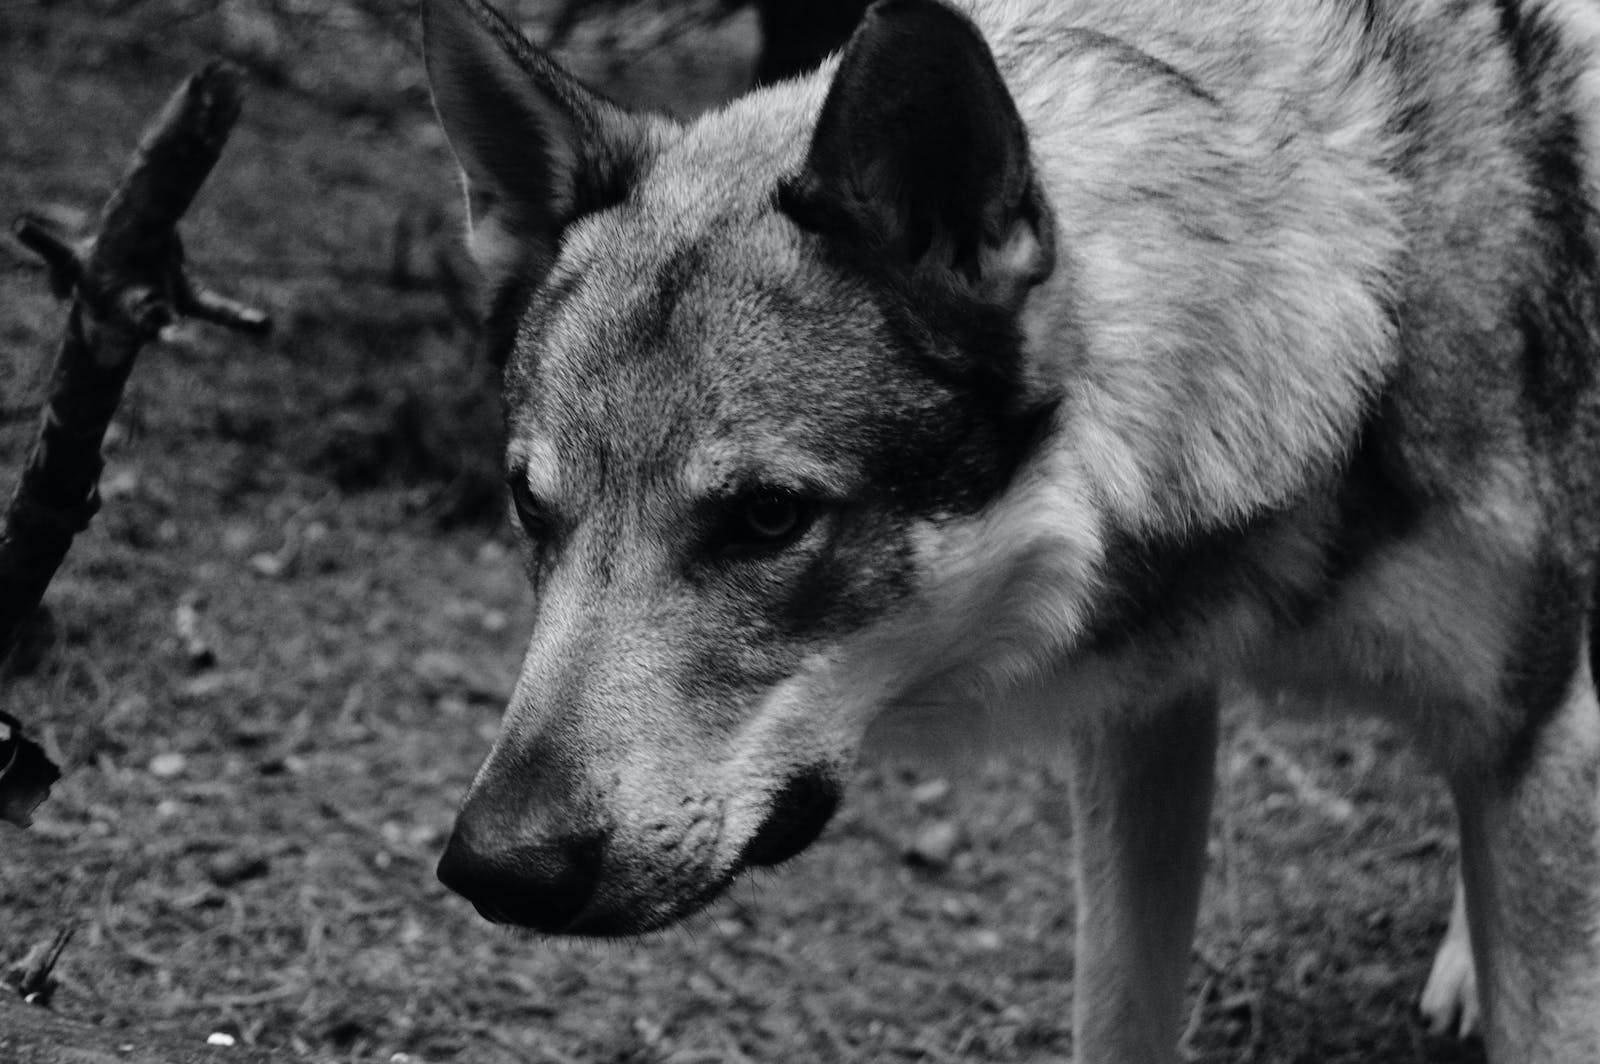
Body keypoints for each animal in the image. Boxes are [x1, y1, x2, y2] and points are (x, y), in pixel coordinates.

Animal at [422, 0, 1600, 1059]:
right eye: (532, 506)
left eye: (767, 516)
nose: (496, 866)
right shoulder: (1143, 714)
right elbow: (1116, 1022)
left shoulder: (1540, 734)